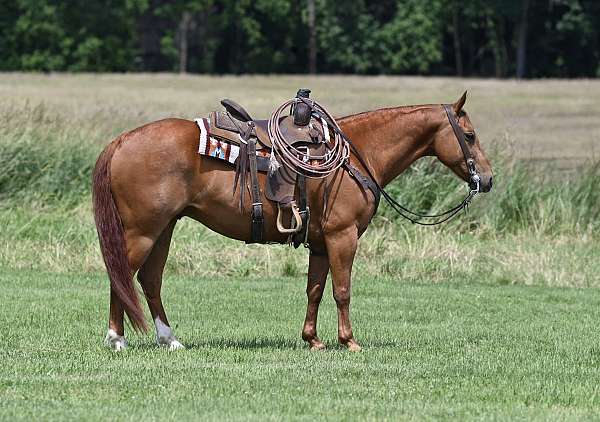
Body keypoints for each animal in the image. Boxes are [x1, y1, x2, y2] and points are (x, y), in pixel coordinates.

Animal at [91, 93, 490, 352]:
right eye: (470, 136)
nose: (486, 179)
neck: (355, 157)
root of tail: (123, 139)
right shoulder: (343, 237)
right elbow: (342, 291)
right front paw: (349, 341)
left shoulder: (321, 243)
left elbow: (315, 290)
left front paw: (313, 339)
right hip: (143, 231)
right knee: (122, 275)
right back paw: (117, 340)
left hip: (164, 228)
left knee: (149, 280)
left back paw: (169, 340)